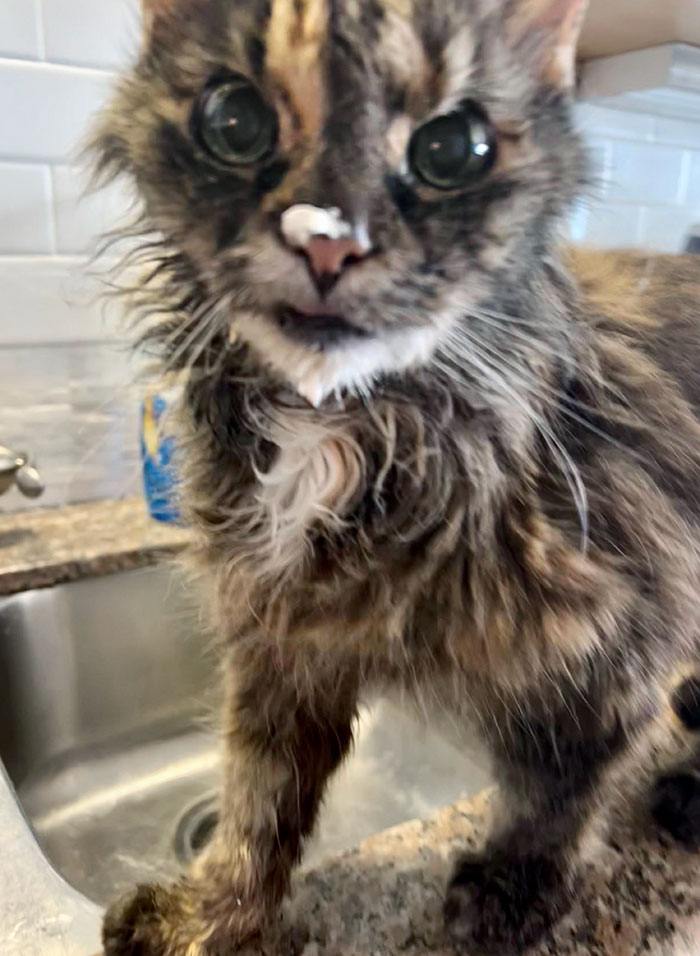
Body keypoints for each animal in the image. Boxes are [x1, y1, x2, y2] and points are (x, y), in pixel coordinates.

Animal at [91, 0, 700, 952]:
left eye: (453, 150)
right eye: (234, 123)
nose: (327, 239)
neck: (341, 431)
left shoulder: (620, 647)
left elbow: (554, 795)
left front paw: (511, 892)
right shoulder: (280, 647)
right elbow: (255, 805)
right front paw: (213, 914)